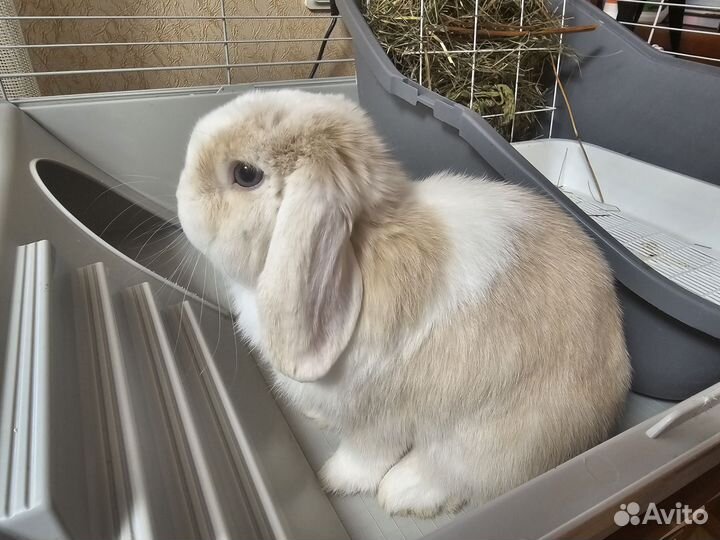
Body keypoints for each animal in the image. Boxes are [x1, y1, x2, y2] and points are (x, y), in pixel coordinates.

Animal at [176, 89, 631, 517]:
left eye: (245, 174)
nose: (180, 196)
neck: (358, 251)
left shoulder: (377, 420)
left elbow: (363, 456)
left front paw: (332, 479)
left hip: (493, 436)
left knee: (461, 473)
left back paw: (404, 492)